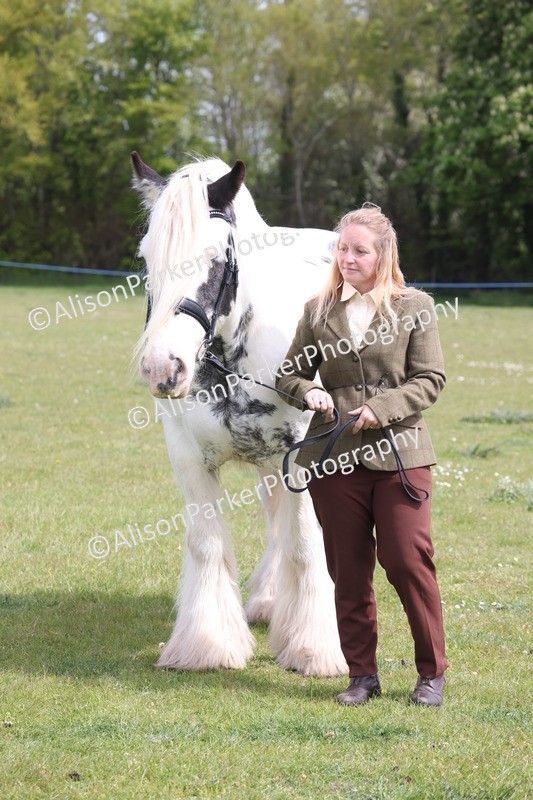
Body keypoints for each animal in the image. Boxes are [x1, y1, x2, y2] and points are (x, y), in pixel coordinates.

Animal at [131, 152, 348, 676]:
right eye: (147, 258)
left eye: (215, 259)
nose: (162, 367)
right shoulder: (188, 457)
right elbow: (208, 543)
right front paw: (207, 645)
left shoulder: (303, 456)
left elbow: (306, 543)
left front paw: (313, 648)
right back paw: (269, 601)